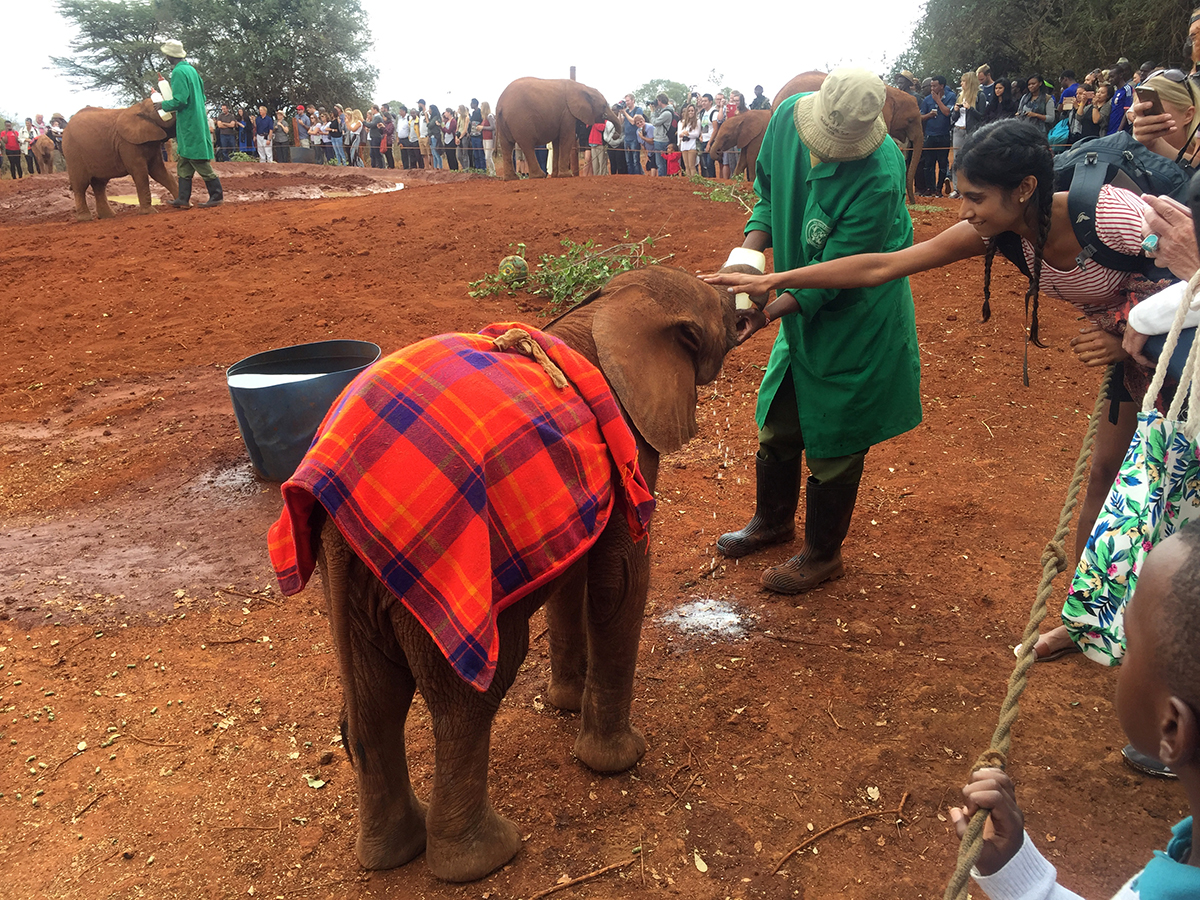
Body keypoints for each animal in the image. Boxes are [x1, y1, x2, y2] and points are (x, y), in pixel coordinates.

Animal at [270, 266, 737, 882]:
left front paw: (564, 704)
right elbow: (620, 580)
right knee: (464, 705)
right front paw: (618, 762)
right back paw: (485, 859)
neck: (605, 305)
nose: (753, 303)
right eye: (725, 320)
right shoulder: (629, 446)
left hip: (348, 582)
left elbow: (575, 575)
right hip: (446, 584)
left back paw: (388, 856)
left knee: (374, 704)